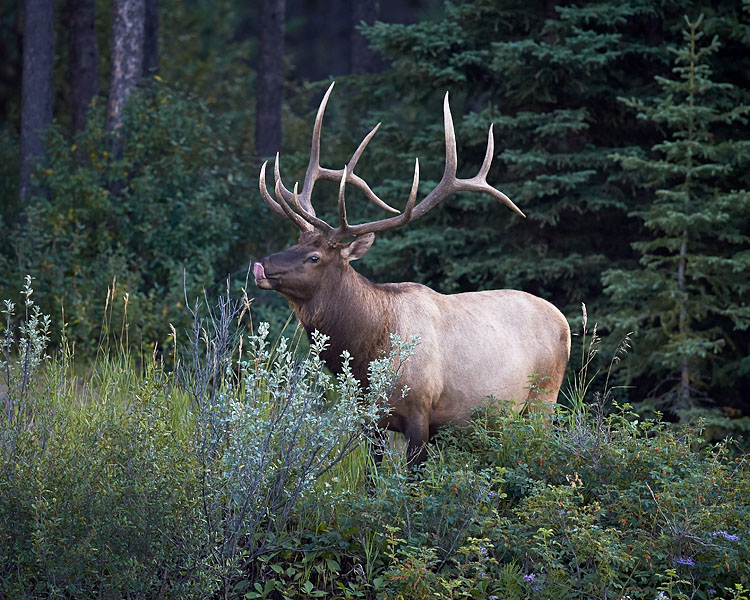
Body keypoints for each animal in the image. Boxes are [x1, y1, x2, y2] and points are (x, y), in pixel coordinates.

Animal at [253, 82, 570, 466]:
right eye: (295, 242)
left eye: (314, 257)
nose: (261, 265)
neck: (368, 355)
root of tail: (567, 323)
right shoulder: (368, 419)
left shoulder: (421, 412)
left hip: (544, 398)